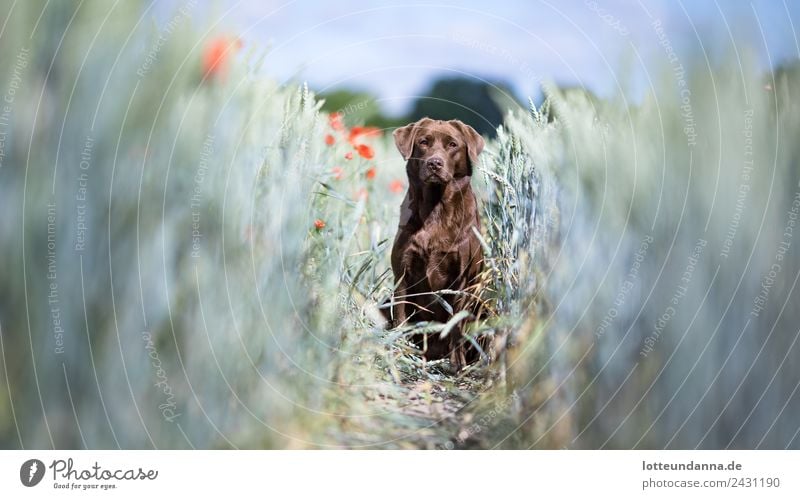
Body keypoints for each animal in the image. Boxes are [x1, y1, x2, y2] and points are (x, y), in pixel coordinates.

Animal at [390, 118, 484, 372]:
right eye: (424, 142)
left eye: (452, 144)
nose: (434, 163)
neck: (435, 209)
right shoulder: (402, 274)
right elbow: (400, 316)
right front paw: (397, 351)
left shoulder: (462, 279)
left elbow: (456, 324)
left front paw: (457, 363)